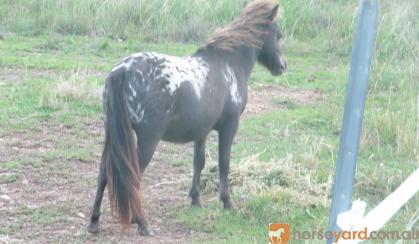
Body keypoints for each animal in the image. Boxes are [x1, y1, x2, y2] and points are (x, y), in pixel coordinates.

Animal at [87, 0, 288, 236]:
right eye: (278, 35)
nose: (282, 66)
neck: (228, 64)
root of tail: (122, 71)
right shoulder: (229, 127)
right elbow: (224, 163)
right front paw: (227, 202)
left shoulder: (202, 131)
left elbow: (198, 163)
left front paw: (195, 200)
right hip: (147, 139)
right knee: (132, 176)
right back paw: (143, 223)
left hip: (113, 134)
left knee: (104, 173)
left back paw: (94, 221)